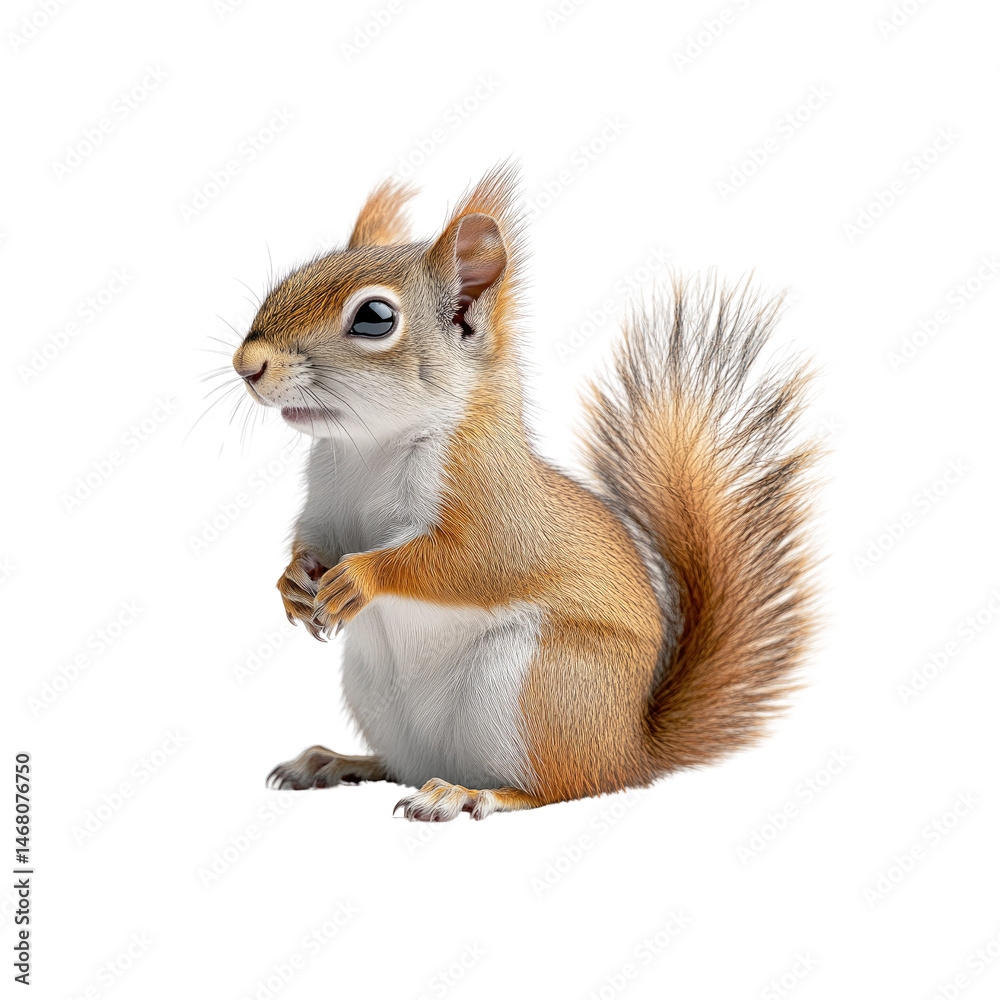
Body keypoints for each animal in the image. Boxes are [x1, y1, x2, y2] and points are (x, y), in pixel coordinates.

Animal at [230, 165, 819, 822]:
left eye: (375, 318)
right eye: (294, 276)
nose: (246, 364)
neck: (367, 449)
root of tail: (629, 751)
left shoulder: (497, 510)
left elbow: (462, 562)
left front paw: (362, 576)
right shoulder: (325, 507)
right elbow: (311, 542)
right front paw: (291, 582)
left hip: (533, 685)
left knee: (559, 786)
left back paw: (468, 794)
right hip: (378, 694)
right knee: (402, 765)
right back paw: (336, 762)